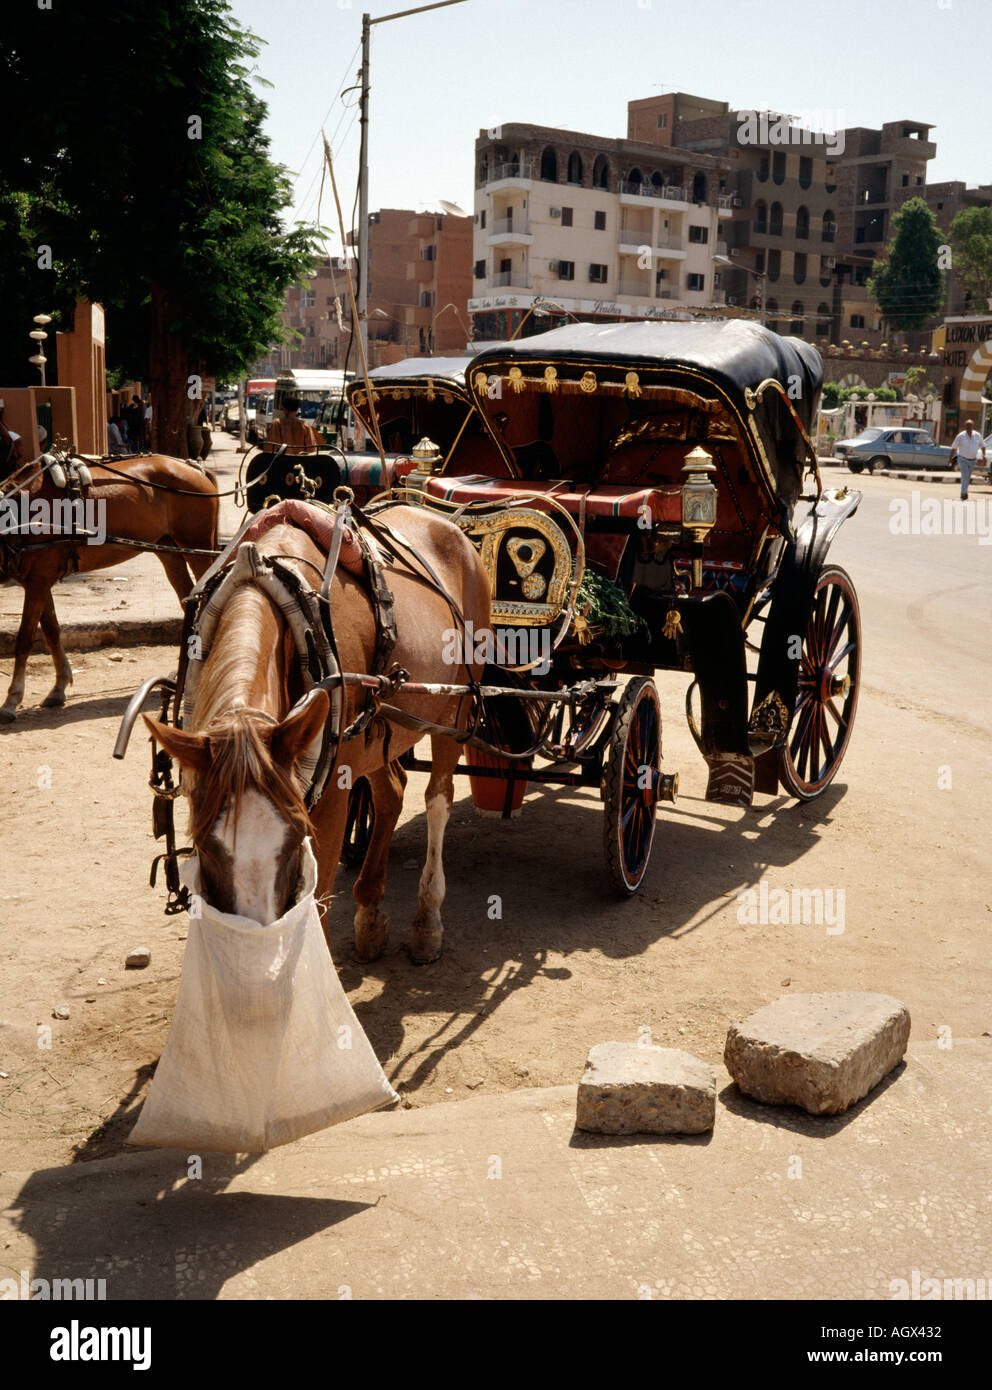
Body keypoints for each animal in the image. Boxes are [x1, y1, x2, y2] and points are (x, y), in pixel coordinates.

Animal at [0, 454, 219, 721]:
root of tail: (195, 468)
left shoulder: (38, 581)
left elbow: (24, 639)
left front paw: (11, 700)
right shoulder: (39, 582)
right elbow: (51, 632)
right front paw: (59, 687)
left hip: (197, 548)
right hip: (169, 550)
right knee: (188, 600)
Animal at [144, 510, 492, 964]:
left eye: (295, 839)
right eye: (202, 844)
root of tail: (447, 523)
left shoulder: (329, 803)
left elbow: (320, 910)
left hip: (457, 706)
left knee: (438, 800)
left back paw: (427, 921)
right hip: (379, 726)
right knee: (392, 792)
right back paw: (370, 914)